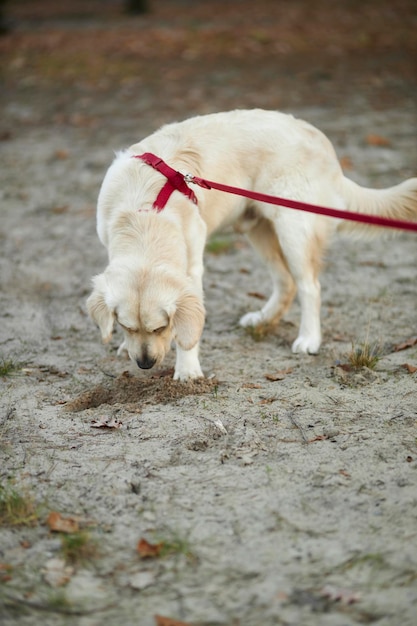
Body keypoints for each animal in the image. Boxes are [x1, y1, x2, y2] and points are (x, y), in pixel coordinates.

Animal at [86, 109, 414, 378]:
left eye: (161, 327)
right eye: (125, 326)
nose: (145, 364)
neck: (144, 213)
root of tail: (321, 141)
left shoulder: (192, 266)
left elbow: (189, 329)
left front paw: (188, 369)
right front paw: (125, 347)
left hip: (292, 228)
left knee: (309, 286)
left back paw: (309, 338)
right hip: (258, 230)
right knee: (285, 283)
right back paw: (263, 319)